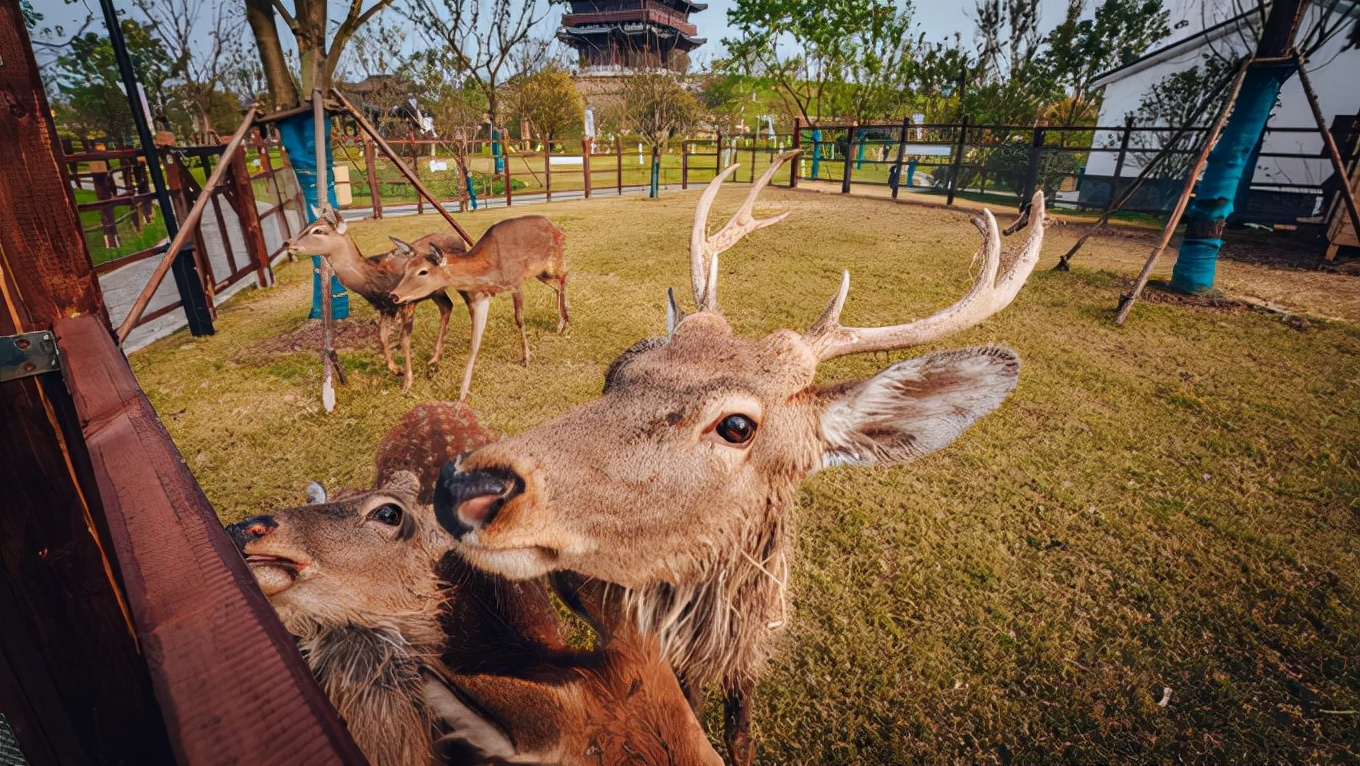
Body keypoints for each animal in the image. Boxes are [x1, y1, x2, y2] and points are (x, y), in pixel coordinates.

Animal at [284, 206, 470, 391]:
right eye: (307, 225)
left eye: (319, 230)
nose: (288, 243)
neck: (375, 279)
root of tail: (459, 240)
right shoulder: (385, 308)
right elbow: (381, 335)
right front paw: (396, 370)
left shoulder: (407, 303)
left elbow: (403, 339)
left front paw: (407, 382)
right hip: (435, 292)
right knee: (447, 306)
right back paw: (434, 359)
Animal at [386, 212, 571, 400]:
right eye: (407, 267)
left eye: (423, 271)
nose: (394, 295)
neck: (489, 268)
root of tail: (557, 227)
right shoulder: (480, 298)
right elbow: (475, 340)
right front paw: (462, 393)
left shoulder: (515, 282)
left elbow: (519, 319)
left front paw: (526, 357)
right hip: (541, 273)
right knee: (557, 284)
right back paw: (561, 322)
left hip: (553, 261)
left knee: (564, 276)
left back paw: (564, 322)